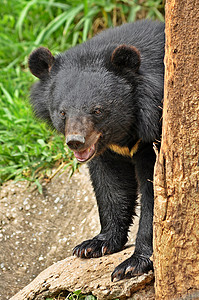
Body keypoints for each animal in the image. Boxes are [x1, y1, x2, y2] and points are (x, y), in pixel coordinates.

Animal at [28, 19, 165, 282]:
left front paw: (132, 264)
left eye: (98, 110)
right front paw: (93, 245)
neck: (126, 131)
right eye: (62, 112)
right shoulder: (107, 150)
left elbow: (155, 195)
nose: (76, 141)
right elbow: (111, 186)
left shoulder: (154, 134)